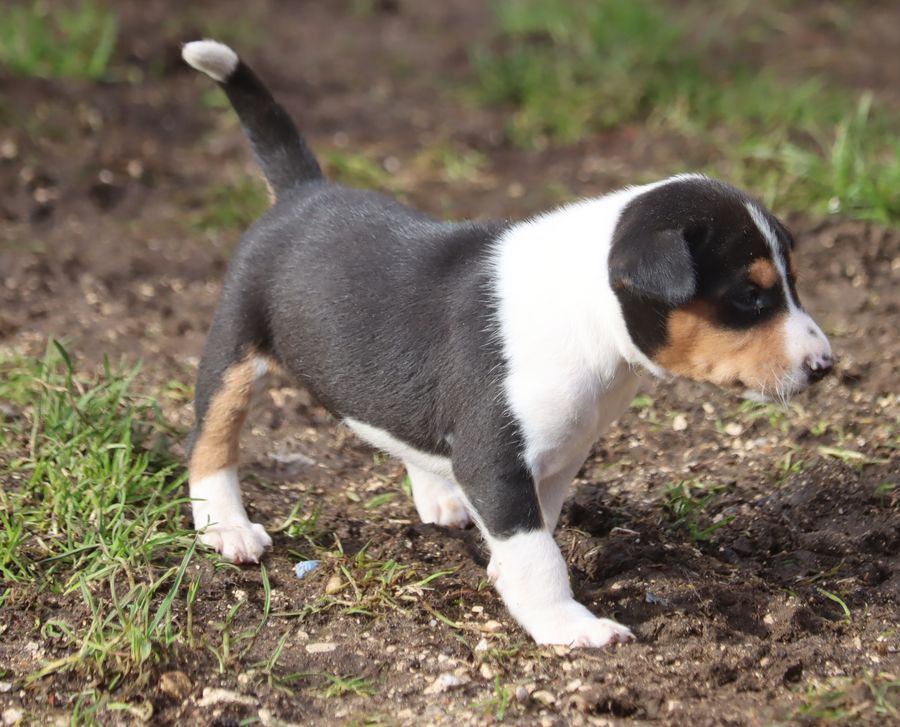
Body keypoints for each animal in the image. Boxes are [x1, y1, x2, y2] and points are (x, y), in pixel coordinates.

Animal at [183, 41, 836, 648]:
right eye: (750, 296)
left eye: (792, 282)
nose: (826, 366)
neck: (591, 320)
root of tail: (303, 192)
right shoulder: (495, 460)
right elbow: (538, 553)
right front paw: (568, 626)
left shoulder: (558, 457)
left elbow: (538, 529)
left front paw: (506, 577)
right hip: (234, 349)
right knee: (211, 438)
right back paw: (227, 528)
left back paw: (437, 496)